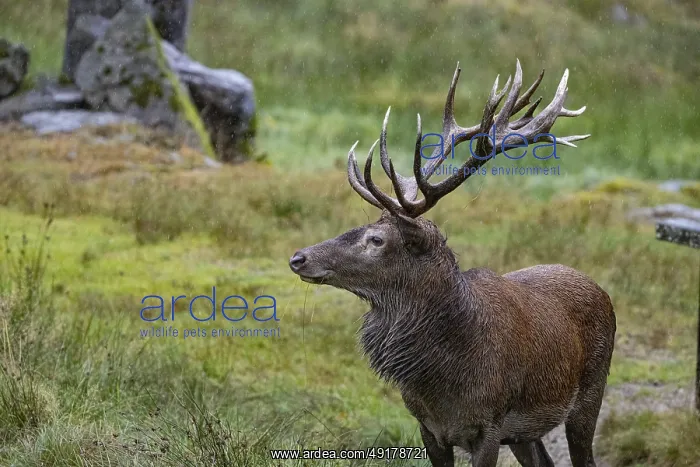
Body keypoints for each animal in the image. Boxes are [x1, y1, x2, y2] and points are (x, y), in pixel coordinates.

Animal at [289, 60, 616, 467]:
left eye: (377, 239)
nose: (298, 257)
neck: (444, 383)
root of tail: (600, 289)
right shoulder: (428, 427)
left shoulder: (489, 426)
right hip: (525, 433)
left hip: (589, 396)